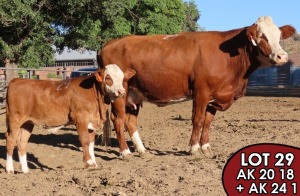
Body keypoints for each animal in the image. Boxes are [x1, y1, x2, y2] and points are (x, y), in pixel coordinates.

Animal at [5, 64, 135, 173]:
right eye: (108, 77)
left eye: (122, 78)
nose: (121, 91)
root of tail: (17, 80)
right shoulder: (81, 119)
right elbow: (85, 141)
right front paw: (88, 163)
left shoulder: (91, 123)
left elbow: (91, 144)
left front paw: (94, 163)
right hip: (14, 120)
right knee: (11, 140)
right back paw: (9, 169)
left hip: (27, 123)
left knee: (22, 143)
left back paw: (25, 170)